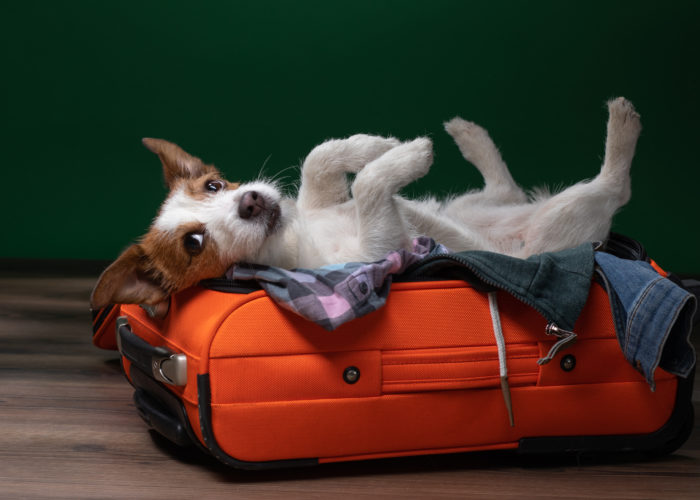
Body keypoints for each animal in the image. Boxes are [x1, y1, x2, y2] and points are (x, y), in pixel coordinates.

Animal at [89, 95, 640, 310]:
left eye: (213, 186)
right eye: (194, 244)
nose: (250, 202)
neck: (295, 236)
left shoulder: (320, 196)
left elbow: (320, 160)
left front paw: (376, 144)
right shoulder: (380, 248)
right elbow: (368, 187)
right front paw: (406, 155)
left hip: (475, 205)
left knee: (505, 188)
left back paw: (469, 134)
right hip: (562, 224)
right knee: (616, 187)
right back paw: (623, 124)